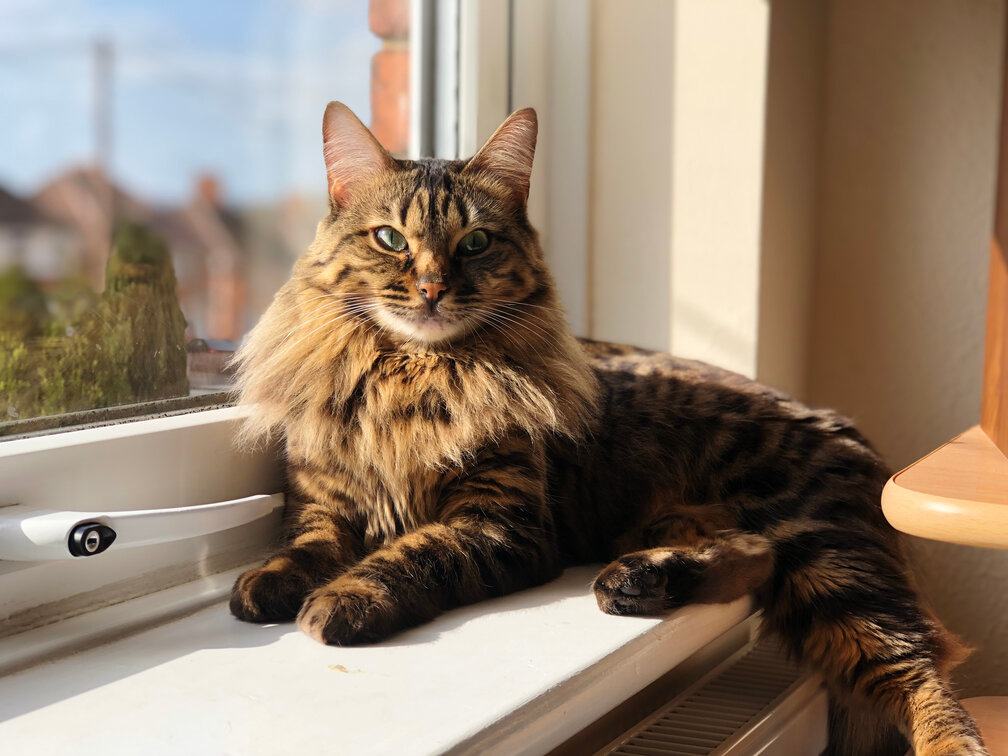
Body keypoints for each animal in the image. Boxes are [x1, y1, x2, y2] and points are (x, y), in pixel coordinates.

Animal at [228, 102, 983, 756]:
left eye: (475, 243)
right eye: (389, 239)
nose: (434, 289)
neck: (415, 377)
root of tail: (840, 421)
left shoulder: (503, 524)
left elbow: (411, 552)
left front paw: (344, 599)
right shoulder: (322, 502)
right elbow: (308, 547)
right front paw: (268, 585)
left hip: (828, 555)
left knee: (919, 673)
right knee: (752, 554)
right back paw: (642, 582)